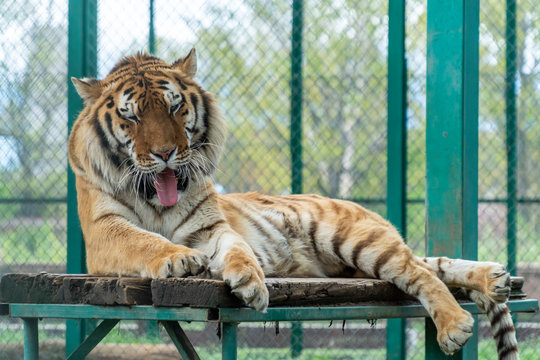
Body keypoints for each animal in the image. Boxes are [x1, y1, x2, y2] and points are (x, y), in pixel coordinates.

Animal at [67, 49, 520, 358]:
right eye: (132, 117)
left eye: (176, 107)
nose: (165, 153)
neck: (155, 196)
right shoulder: (105, 231)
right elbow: (143, 240)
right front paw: (180, 259)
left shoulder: (210, 227)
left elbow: (237, 248)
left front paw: (250, 281)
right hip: (359, 259)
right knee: (427, 263)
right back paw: (493, 280)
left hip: (356, 240)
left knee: (419, 271)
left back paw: (457, 321)